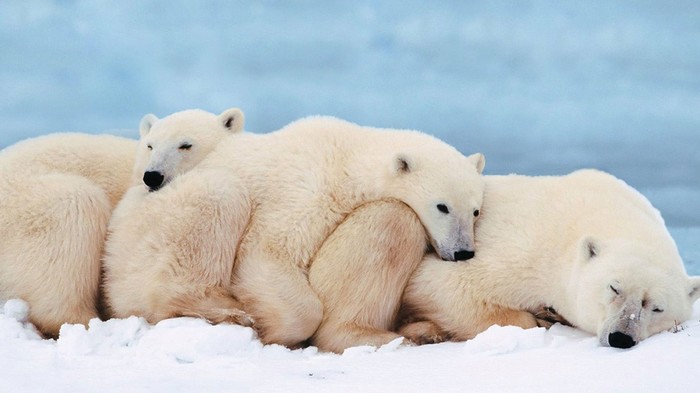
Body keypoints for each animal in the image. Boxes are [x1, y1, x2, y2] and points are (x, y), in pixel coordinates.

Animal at [102, 115, 486, 346]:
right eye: (442, 206)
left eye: (475, 210)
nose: (463, 252)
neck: (347, 156)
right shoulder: (307, 189)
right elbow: (268, 251)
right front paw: (274, 330)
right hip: (152, 230)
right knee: (219, 195)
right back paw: (225, 311)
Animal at [394, 170, 700, 348]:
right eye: (614, 288)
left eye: (657, 308)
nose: (621, 337)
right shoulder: (523, 249)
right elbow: (439, 283)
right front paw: (541, 318)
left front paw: (550, 313)